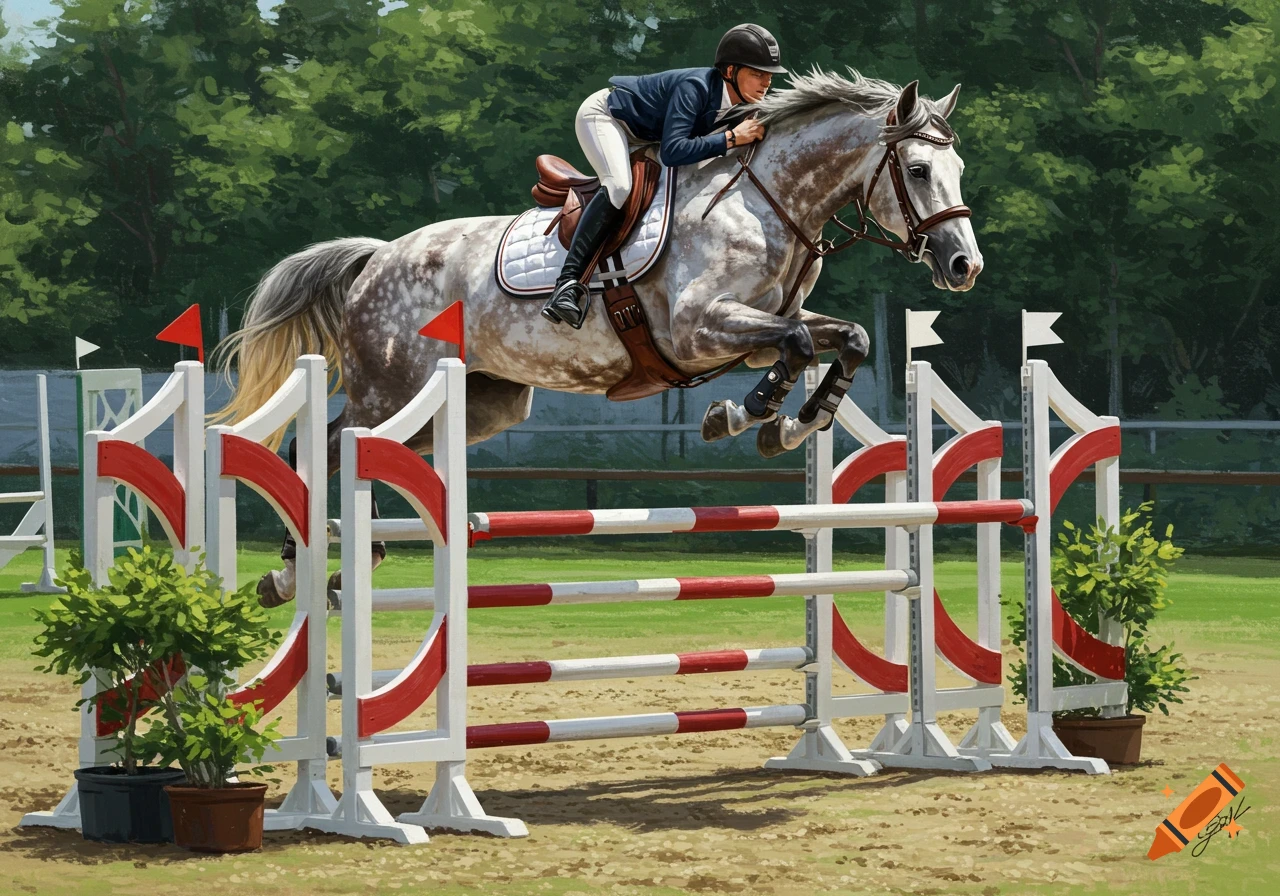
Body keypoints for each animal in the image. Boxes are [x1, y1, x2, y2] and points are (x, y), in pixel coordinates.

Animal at [213, 68, 982, 604]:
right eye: (918, 170)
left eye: (959, 170)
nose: (964, 266)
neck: (766, 200)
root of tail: (378, 258)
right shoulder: (699, 329)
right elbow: (794, 347)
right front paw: (745, 415)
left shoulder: (757, 331)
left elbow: (844, 338)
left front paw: (793, 424)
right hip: (390, 387)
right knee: (328, 445)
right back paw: (304, 567)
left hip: (479, 405)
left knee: (360, 450)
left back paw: (327, 565)